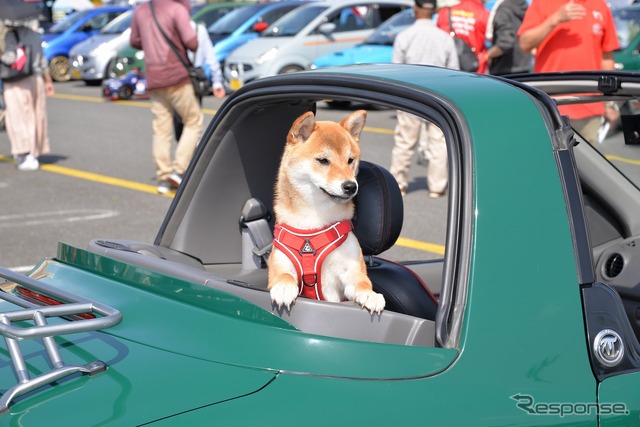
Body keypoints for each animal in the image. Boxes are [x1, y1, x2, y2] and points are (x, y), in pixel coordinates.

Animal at [266, 110, 384, 316]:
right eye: (323, 161)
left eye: (350, 160)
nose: (350, 186)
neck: (314, 221)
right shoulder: (279, 263)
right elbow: (284, 276)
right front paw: (284, 288)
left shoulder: (351, 268)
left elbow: (362, 282)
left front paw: (370, 295)